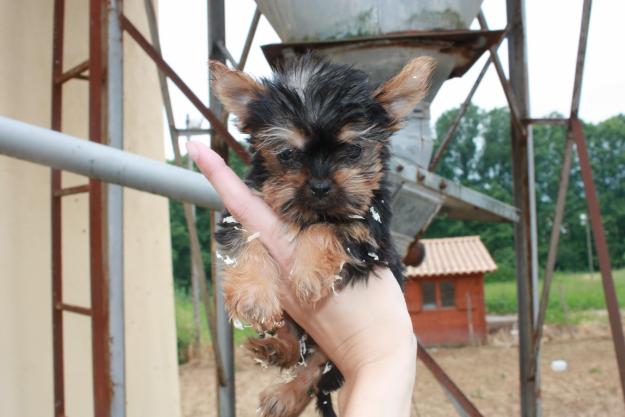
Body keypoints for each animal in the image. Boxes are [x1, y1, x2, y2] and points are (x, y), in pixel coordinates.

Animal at [210, 55, 434, 416]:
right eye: (287, 154)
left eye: (353, 151)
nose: (319, 185)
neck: (307, 213)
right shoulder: (243, 211)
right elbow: (249, 238)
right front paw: (254, 293)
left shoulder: (366, 232)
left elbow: (326, 227)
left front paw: (308, 271)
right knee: (295, 346)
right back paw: (275, 350)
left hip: (330, 354)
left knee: (316, 369)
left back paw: (285, 395)